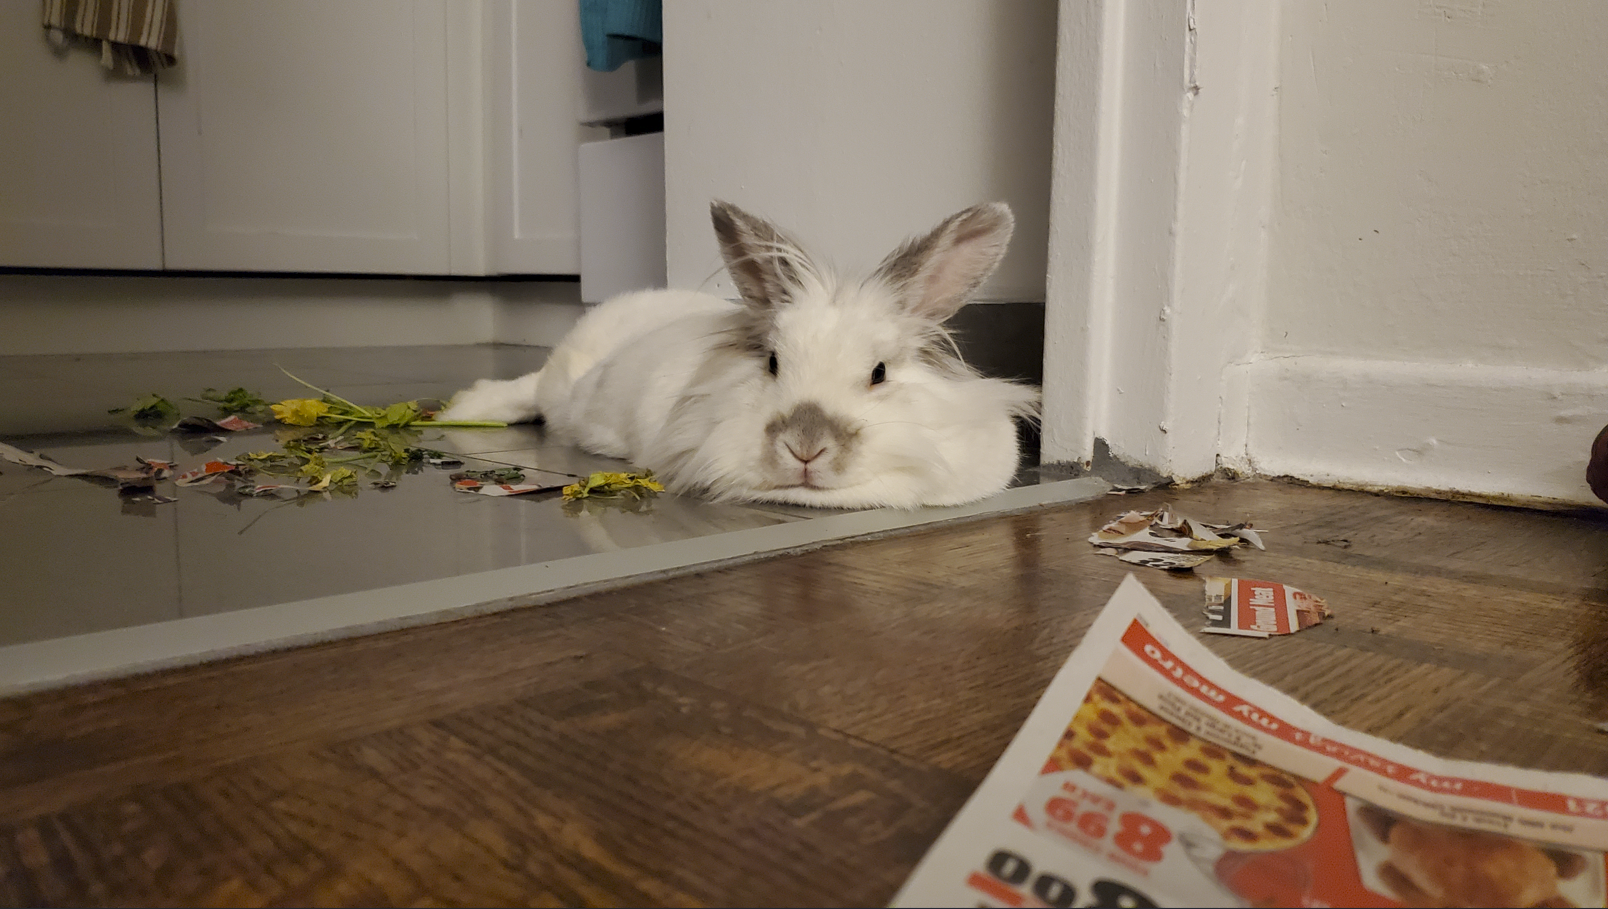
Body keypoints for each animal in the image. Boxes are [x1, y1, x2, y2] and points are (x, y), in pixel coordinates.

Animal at [435, 200, 1040, 509]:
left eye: (879, 372)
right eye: (771, 363)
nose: (805, 448)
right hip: (563, 389)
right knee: (527, 388)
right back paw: (463, 409)